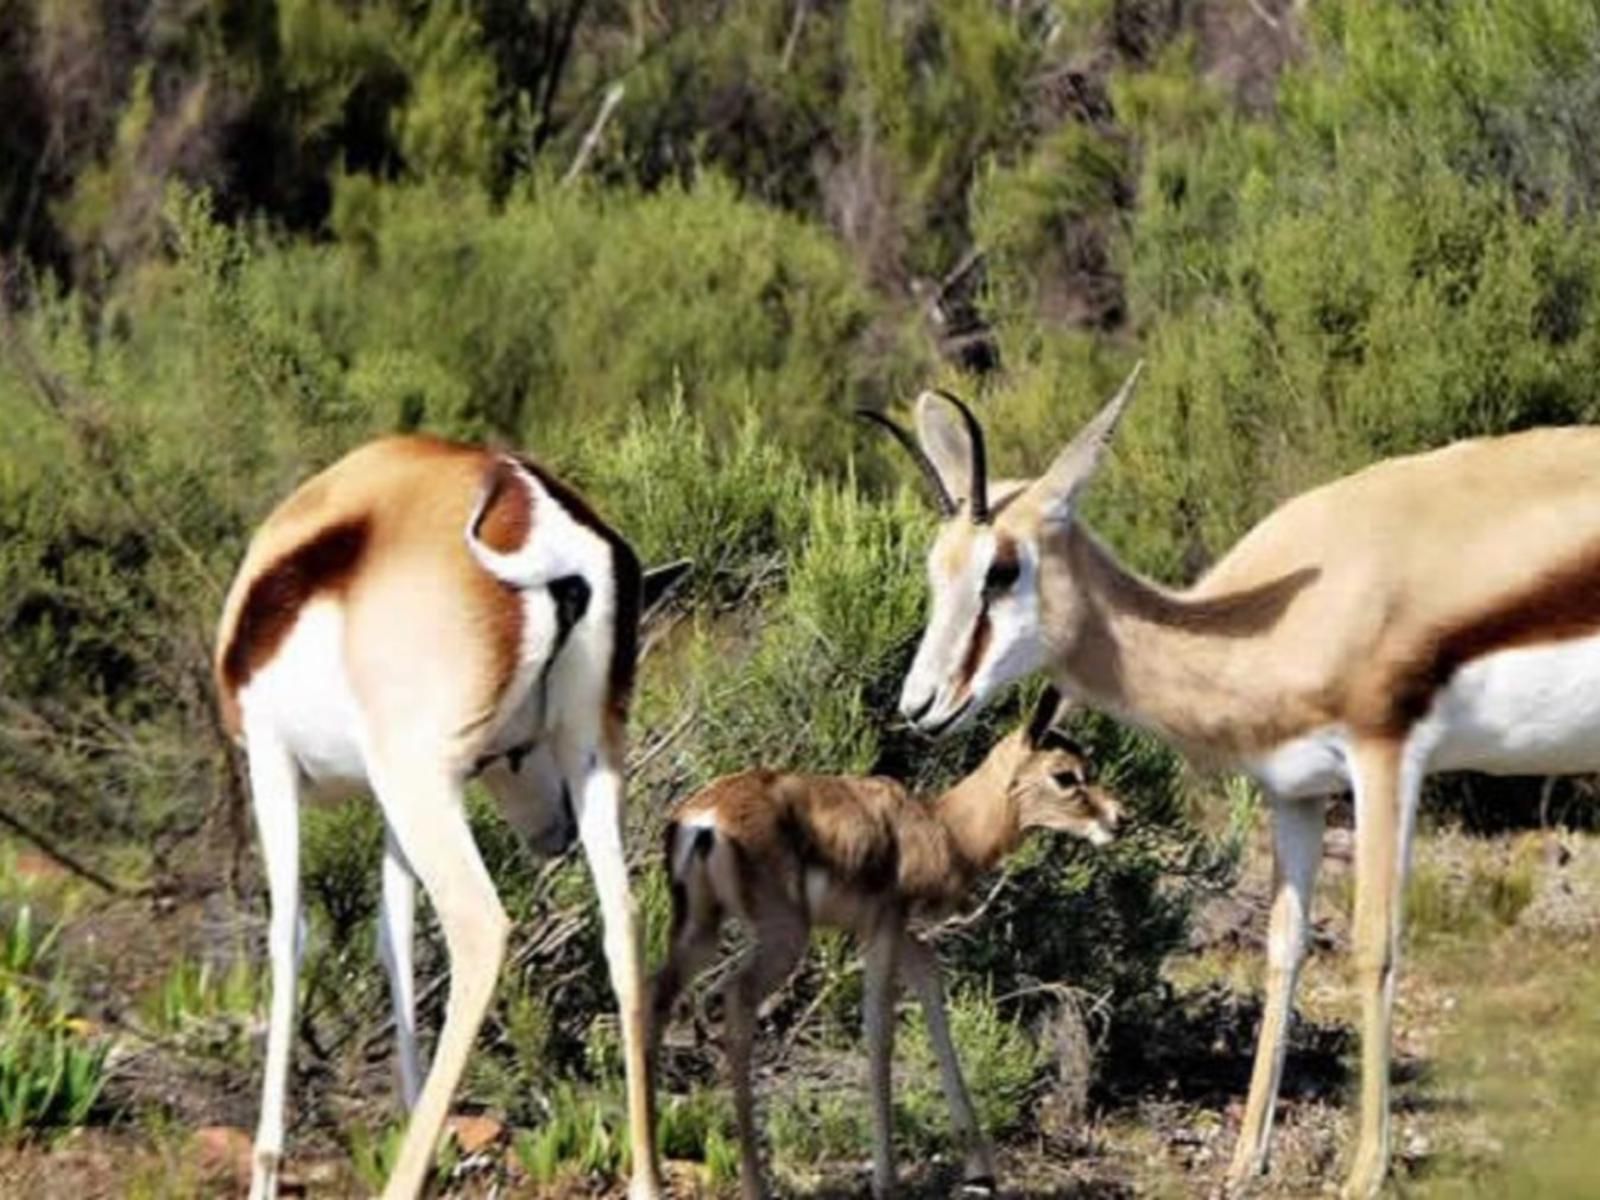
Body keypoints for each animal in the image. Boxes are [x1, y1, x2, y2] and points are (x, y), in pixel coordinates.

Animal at [646, 691, 1113, 1196]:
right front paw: (887, 1180)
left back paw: (650, 1177)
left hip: (699, 929)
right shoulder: (887, 924)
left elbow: (929, 987)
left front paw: (980, 1169)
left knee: (654, 997)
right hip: (782, 935)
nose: (1117, 818)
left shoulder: (894, 931)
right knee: (736, 998)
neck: (943, 827)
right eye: (1065, 775)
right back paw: (755, 1185)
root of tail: (703, 821)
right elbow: (880, 1033)